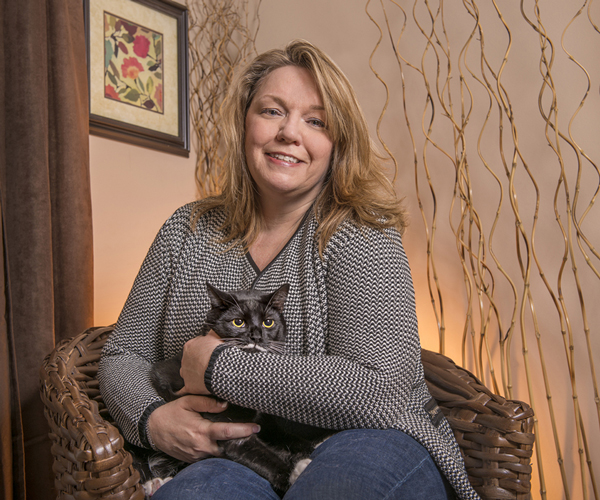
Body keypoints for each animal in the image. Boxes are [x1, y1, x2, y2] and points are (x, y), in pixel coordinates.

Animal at [145, 284, 332, 498]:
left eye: (268, 322)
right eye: (238, 322)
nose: (257, 336)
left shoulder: (265, 421)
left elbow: (285, 435)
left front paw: (313, 445)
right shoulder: (232, 433)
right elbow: (262, 456)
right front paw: (295, 470)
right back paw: (154, 484)